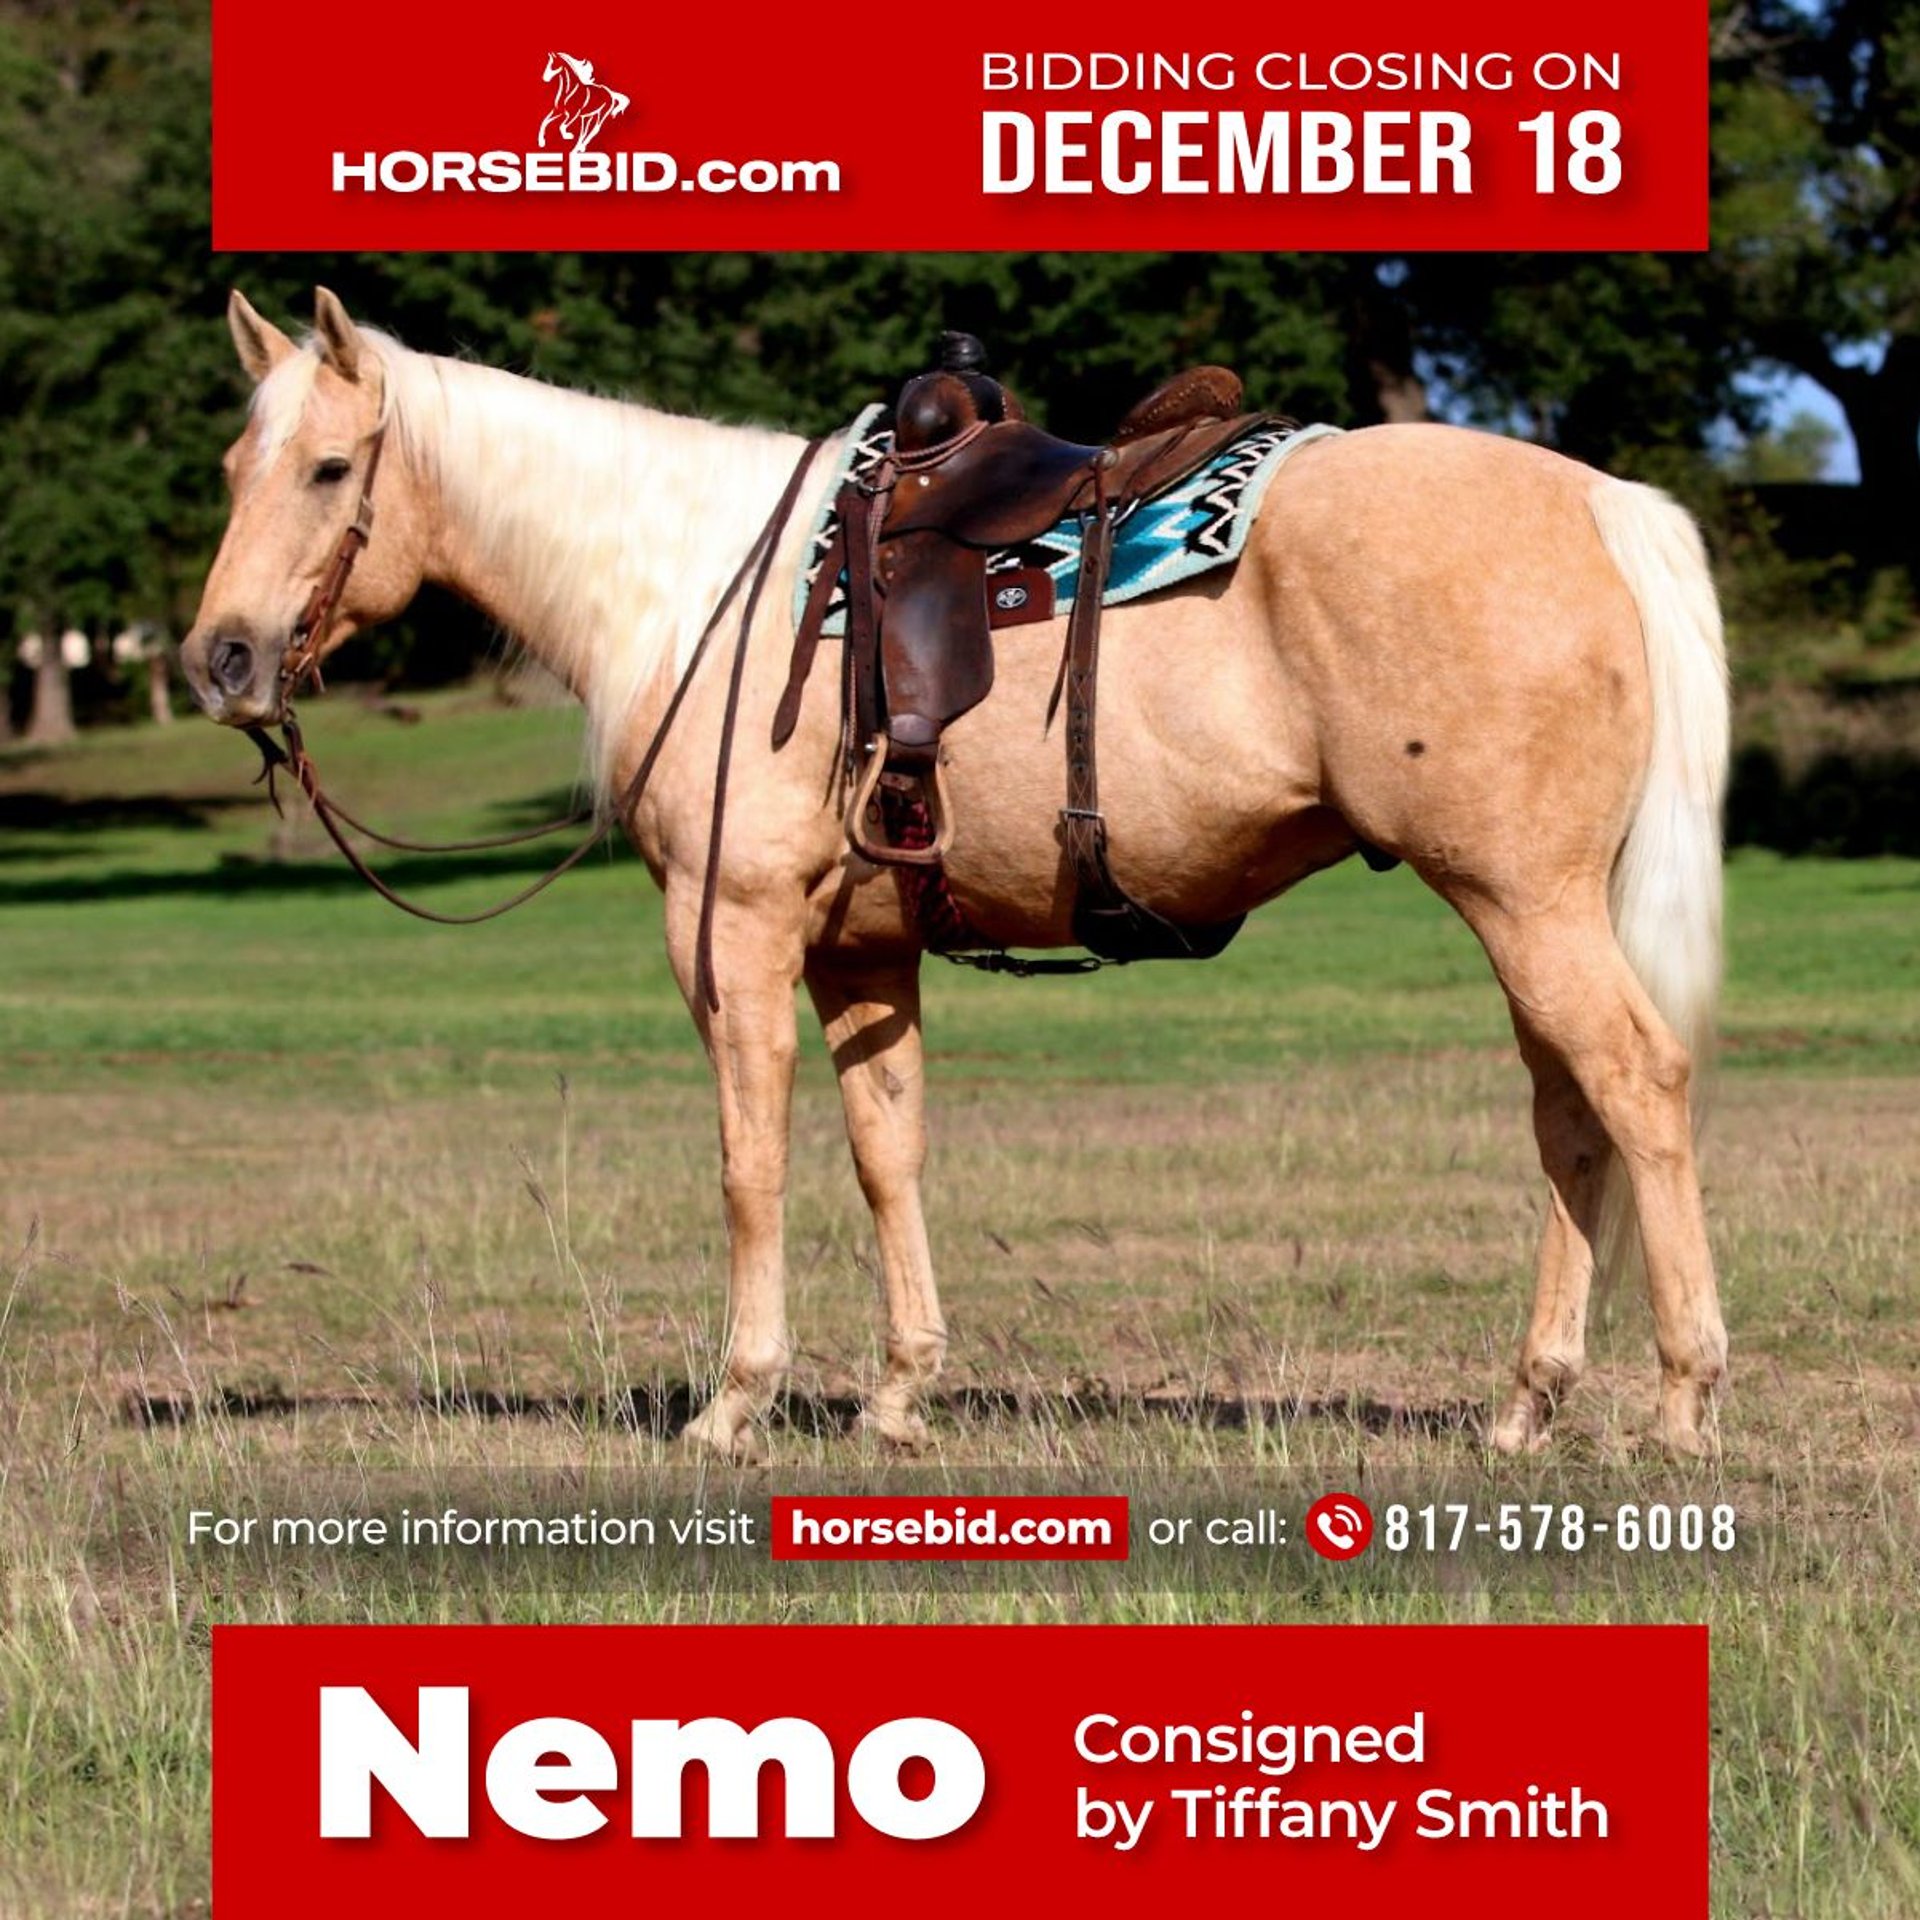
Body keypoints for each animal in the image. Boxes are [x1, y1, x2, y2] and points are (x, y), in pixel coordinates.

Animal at [182, 288, 1732, 1464]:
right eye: (233, 473)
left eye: (330, 471)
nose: (221, 661)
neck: (696, 589)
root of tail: (1596, 500)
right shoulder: (863, 950)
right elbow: (888, 1151)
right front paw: (900, 1390)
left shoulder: (730, 931)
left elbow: (750, 1159)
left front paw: (735, 1400)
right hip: (1530, 908)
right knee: (1569, 1115)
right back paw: (1528, 1403)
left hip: (1522, 903)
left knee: (1635, 1083)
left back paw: (1680, 1399)